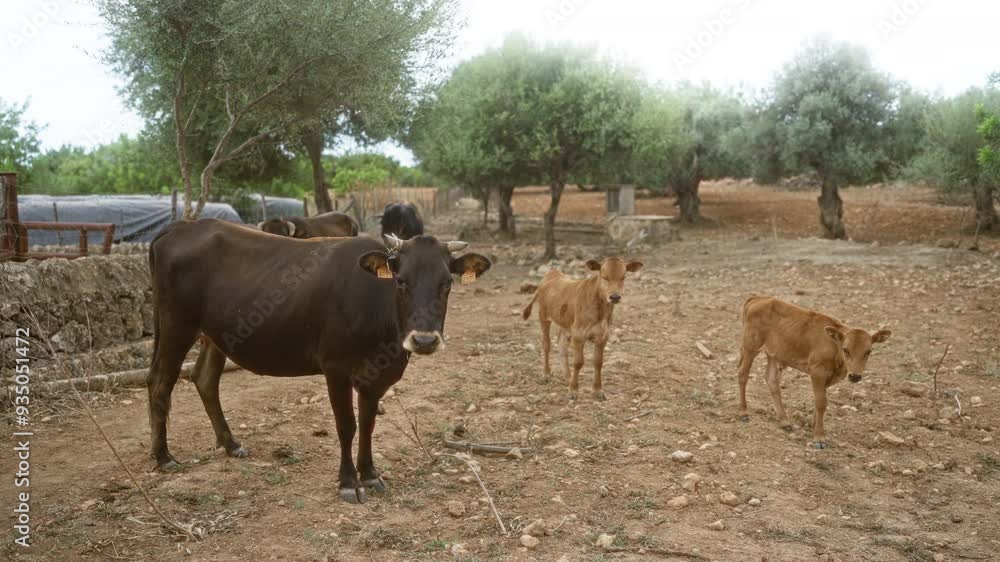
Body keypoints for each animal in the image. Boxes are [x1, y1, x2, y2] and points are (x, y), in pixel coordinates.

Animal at [146, 219, 490, 503]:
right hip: (176, 325)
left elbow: (368, 424)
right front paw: (349, 482)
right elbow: (346, 425)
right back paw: (163, 456)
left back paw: (230, 444)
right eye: (401, 281)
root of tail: (179, 227)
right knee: (160, 382)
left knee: (205, 379)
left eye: (447, 283)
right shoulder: (335, 368)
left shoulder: (375, 374)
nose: (424, 340)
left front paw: (370, 474)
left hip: (215, 334)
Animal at [522, 257, 644, 401]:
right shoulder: (578, 335)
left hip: (566, 323)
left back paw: (567, 377)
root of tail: (552, 274)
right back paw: (546, 374)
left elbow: (598, 362)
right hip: (544, 316)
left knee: (562, 345)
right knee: (546, 345)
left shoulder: (603, 335)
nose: (614, 297)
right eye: (604, 276)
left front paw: (598, 391)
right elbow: (578, 362)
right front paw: (573, 390)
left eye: (623, 277)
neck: (600, 312)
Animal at [736, 296, 892, 449]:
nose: (855, 376)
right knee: (742, 373)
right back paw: (743, 413)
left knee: (772, 380)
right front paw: (819, 437)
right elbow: (821, 402)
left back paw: (784, 422)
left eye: (868, 351)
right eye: (846, 349)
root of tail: (758, 297)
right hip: (751, 346)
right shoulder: (817, 372)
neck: (835, 349)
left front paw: (813, 425)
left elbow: (818, 400)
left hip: (774, 354)